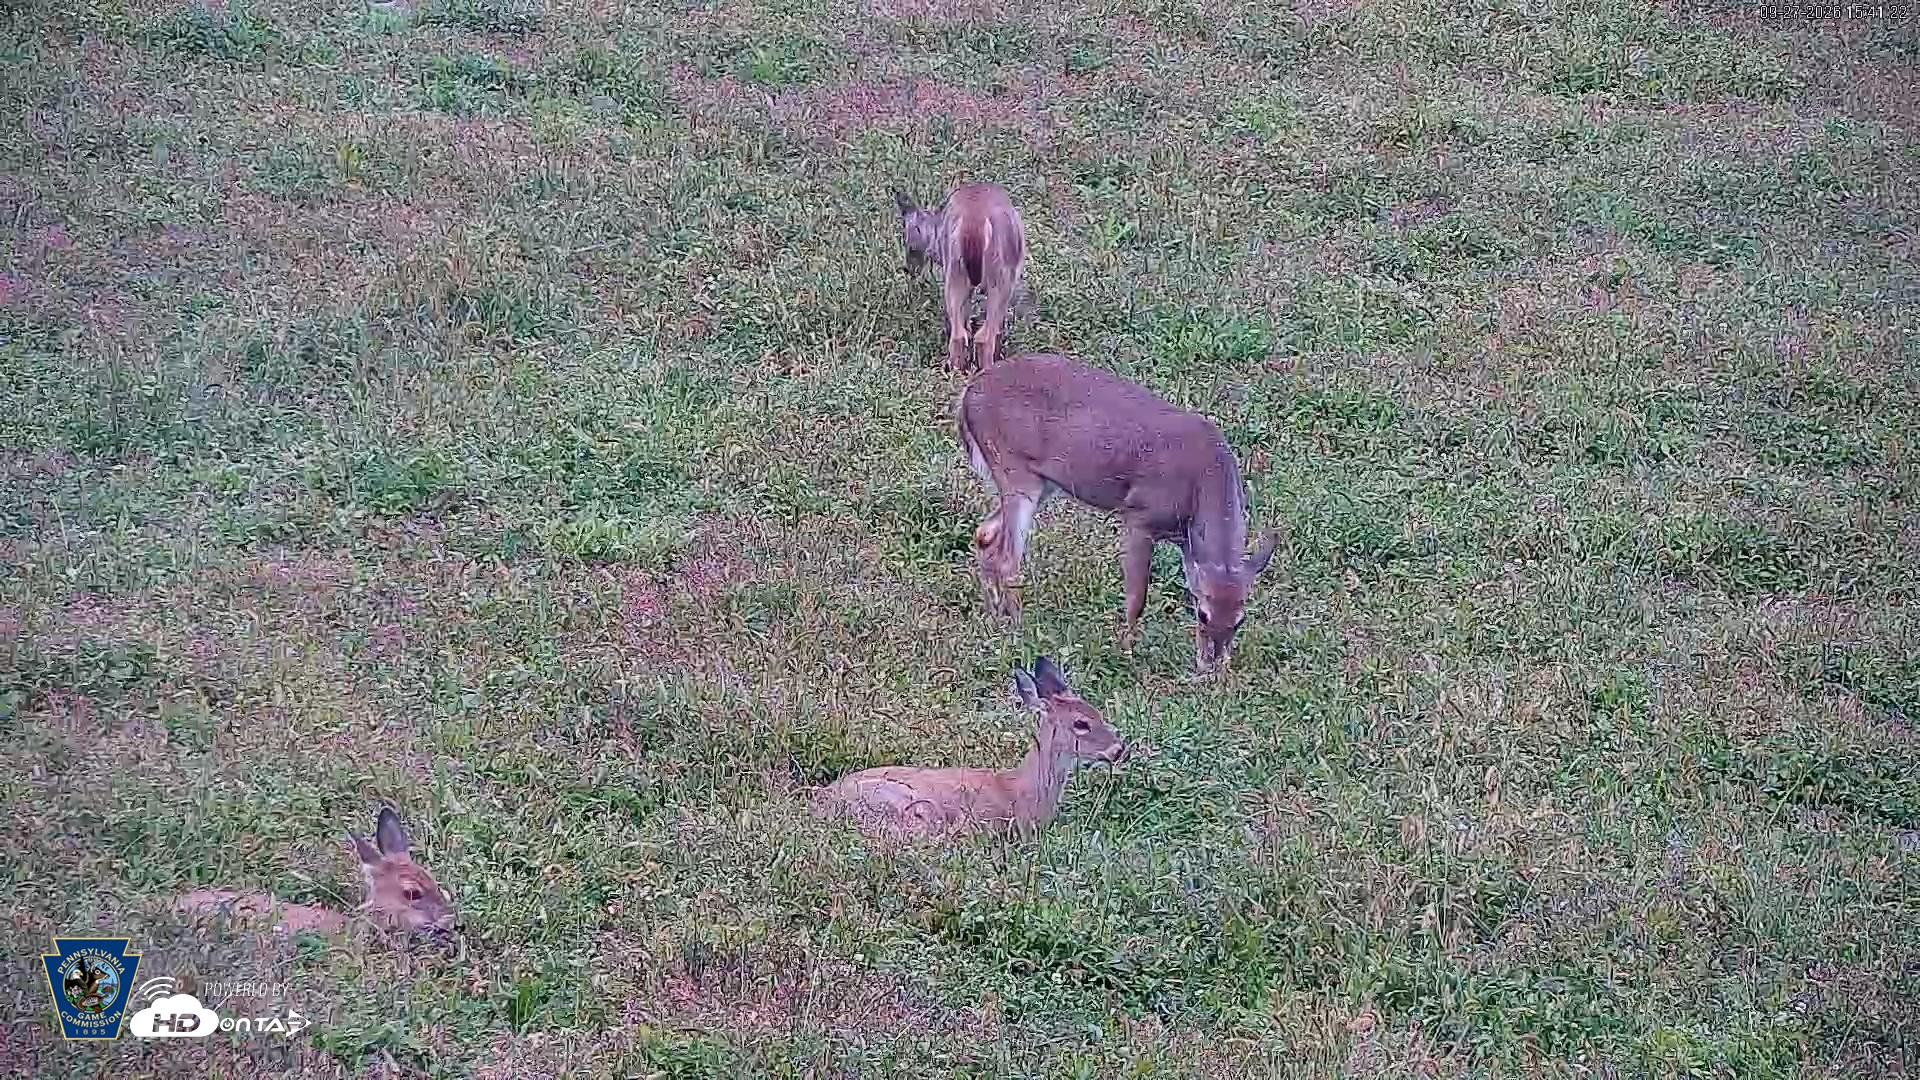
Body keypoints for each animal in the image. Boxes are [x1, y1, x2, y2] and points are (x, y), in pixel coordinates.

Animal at [892, 182, 1027, 372]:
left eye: (908, 244)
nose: (908, 268)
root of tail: (974, 223)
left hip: (955, 271)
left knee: (958, 334)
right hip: (1000, 277)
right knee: (984, 336)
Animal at [959, 353, 1281, 674]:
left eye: (1240, 619)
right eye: (1203, 614)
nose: (1212, 666)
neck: (1200, 487)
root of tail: (968, 395)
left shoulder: (1186, 542)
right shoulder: (1139, 516)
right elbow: (1137, 596)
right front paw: (1126, 654)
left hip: (1040, 482)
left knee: (985, 534)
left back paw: (995, 616)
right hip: (1016, 469)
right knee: (1007, 558)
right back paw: (1019, 628)